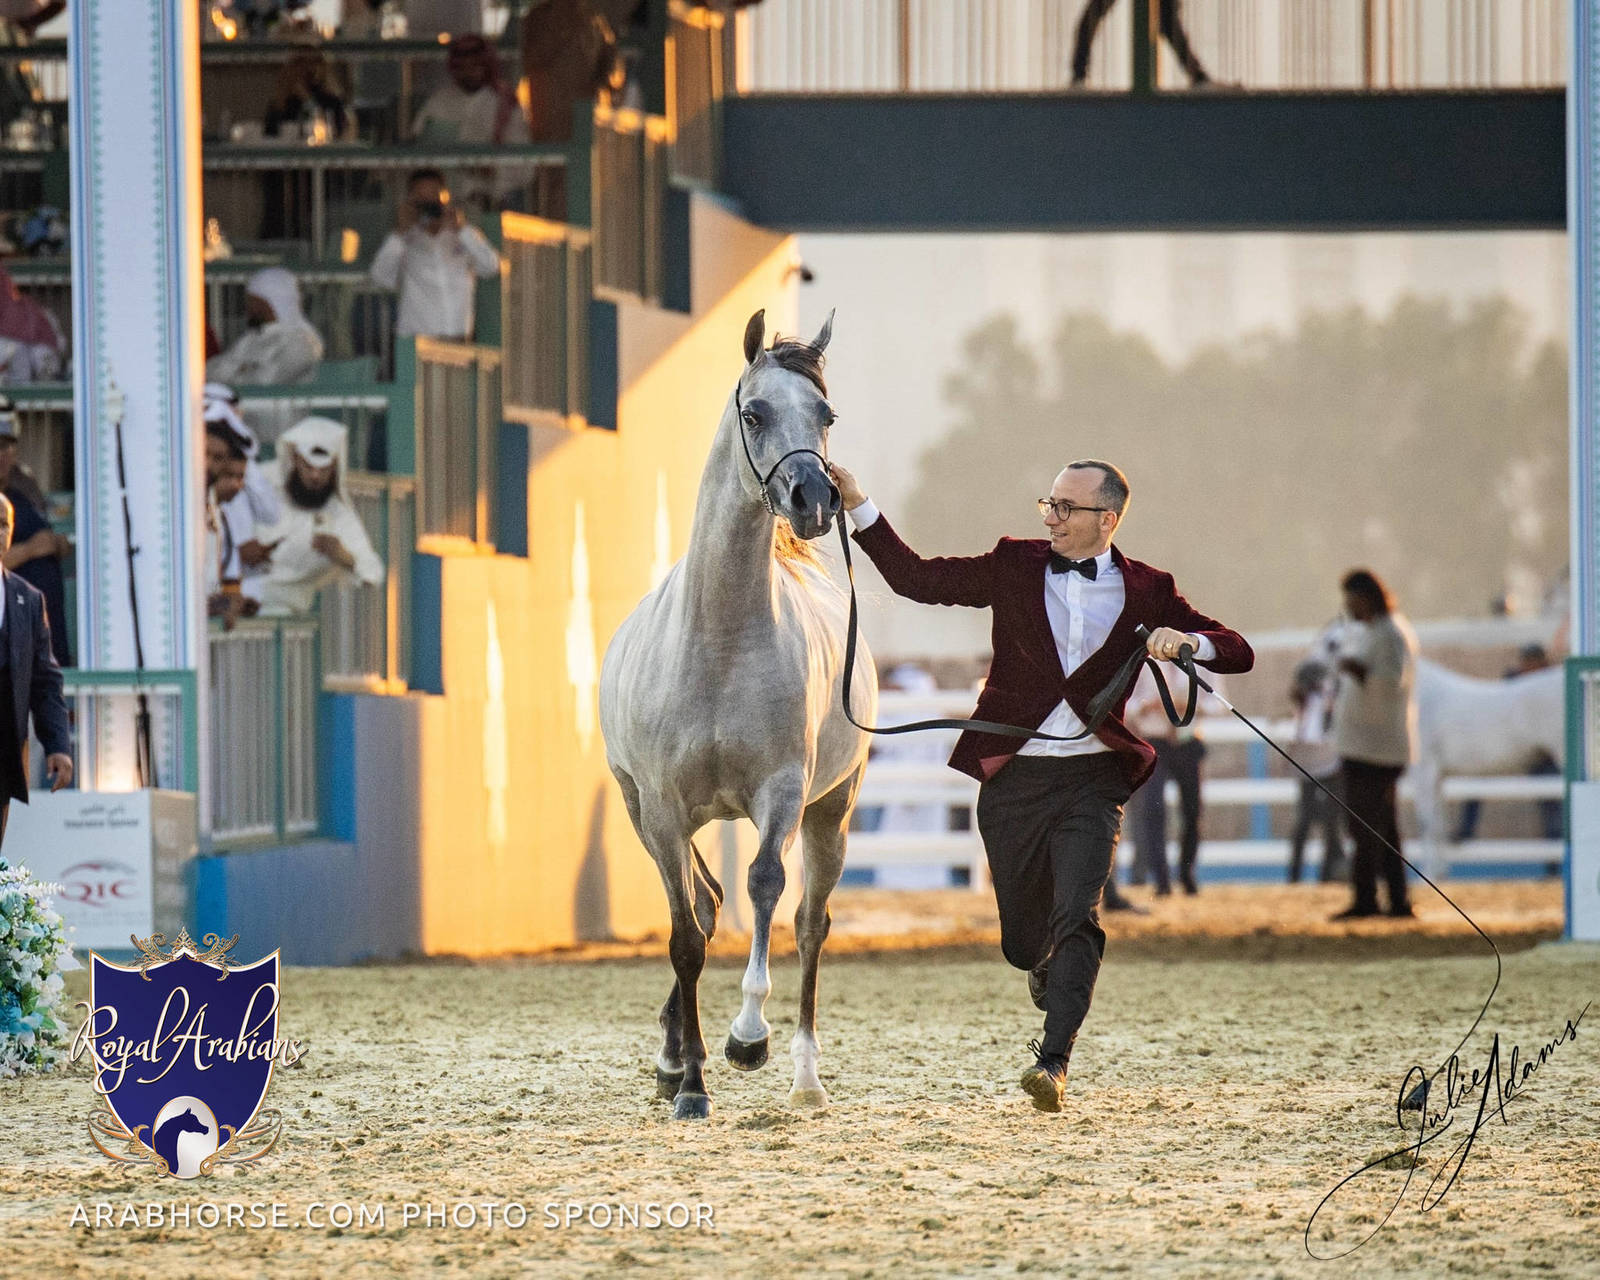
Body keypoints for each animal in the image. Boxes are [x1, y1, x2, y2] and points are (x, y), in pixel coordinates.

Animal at [598, 308, 876, 1120]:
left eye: (826, 415)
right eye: (754, 412)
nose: (814, 501)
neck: (719, 640)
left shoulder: (782, 792)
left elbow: (764, 888)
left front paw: (747, 1036)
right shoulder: (662, 806)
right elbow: (686, 937)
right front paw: (689, 1084)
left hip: (832, 808)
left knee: (809, 925)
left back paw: (806, 1078)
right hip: (645, 811)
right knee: (702, 902)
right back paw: (672, 1060)